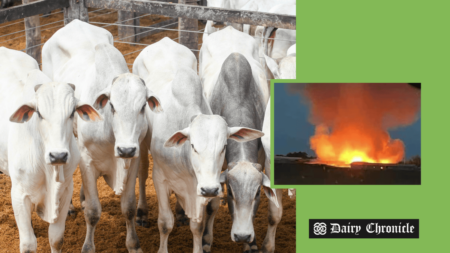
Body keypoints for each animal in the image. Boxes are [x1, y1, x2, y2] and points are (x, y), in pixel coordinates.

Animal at [0, 47, 100, 251]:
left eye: (72, 112)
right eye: (38, 113)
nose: (58, 155)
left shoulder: (65, 190)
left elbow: (56, 238)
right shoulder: (19, 195)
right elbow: (28, 244)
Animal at [41, 20, 162, 253]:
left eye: (143, 106)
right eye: (112, 106)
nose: (125, 149)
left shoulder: (132, 160)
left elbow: (128, 207)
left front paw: (134, 244)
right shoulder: (87, 161)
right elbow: (93, 211)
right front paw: (88, 247)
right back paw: (71, 205)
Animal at [132, 38, 262, 253]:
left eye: (224, 147)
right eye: (193, 146)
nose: (209, 189)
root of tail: (163, 40)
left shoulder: (200, 187)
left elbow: (198, 226)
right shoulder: (160, 178)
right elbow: (165, 223)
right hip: (142, 144)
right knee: (141, 172)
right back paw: (141, 212)